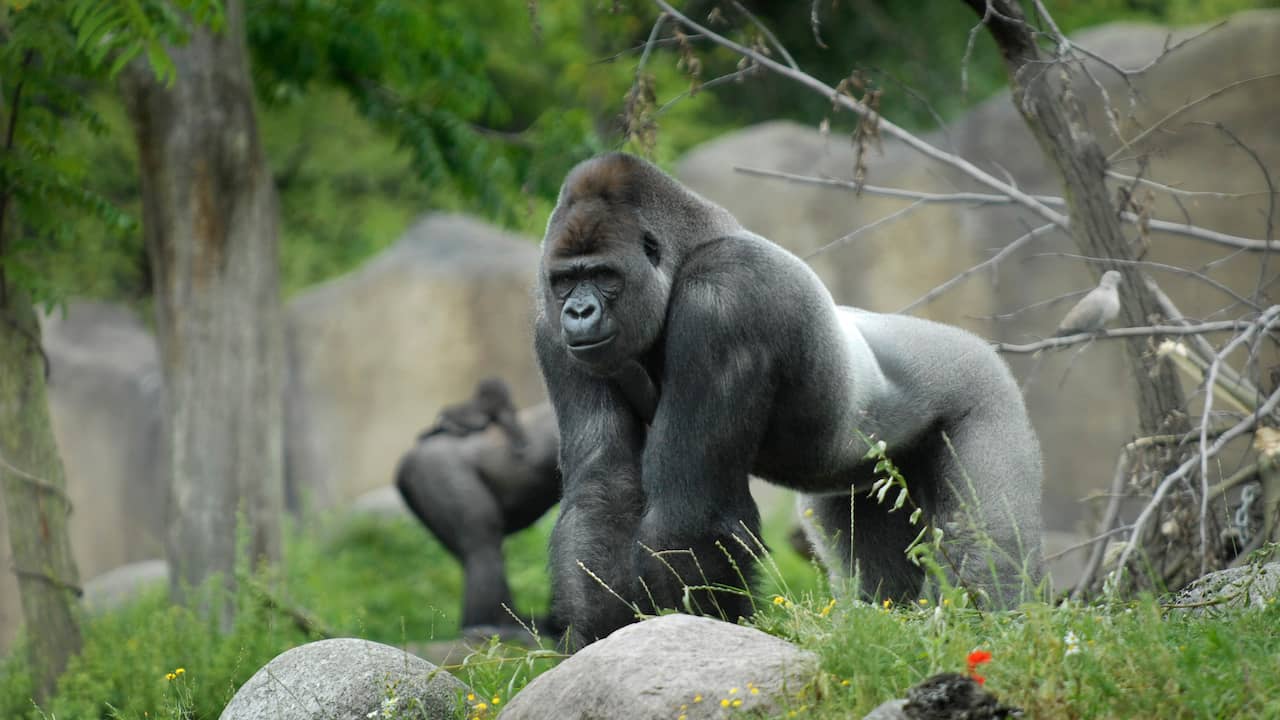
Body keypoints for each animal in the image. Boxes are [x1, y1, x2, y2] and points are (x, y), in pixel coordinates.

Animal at [535, 151, 1044, 645]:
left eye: (604, 275)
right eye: (565, 281)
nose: (578, 312)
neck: (687, 253)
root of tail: (974, 344)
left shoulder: (726, 300)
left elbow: (690, 510)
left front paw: (700, 628)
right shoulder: (550, 327)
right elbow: (603, 488)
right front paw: (597, 636)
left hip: (984, 386)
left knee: (986, 547)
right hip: (866, 478)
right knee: (877, 568)